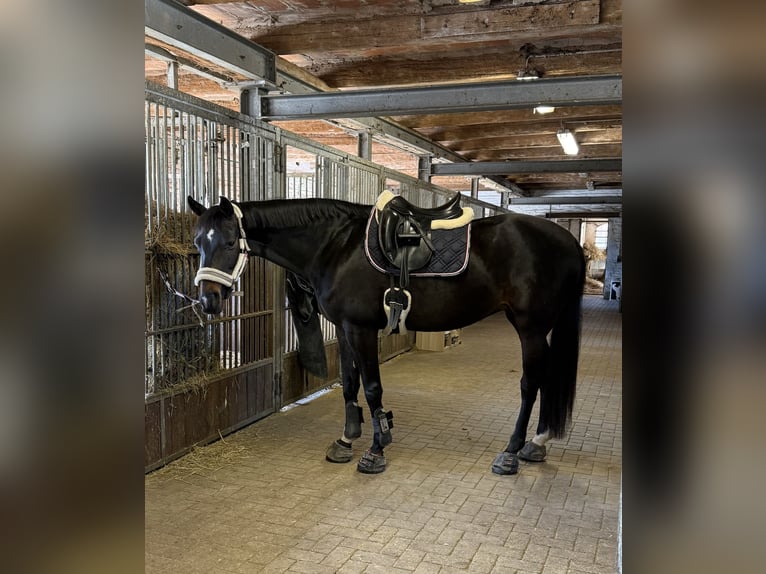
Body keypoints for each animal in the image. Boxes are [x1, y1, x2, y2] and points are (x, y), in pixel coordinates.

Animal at [187, 194, 585, 475]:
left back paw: (511, 452)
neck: (336, 246)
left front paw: (376, 451)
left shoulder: (362, 329)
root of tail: (566, 240)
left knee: (531, 383)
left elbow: (372, 387)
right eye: (196, 242)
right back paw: (537, 442)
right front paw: (346, 440)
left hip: (531, 328)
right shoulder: (344, 328)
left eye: (228, 243)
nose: (207, 300)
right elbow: (349, 383)